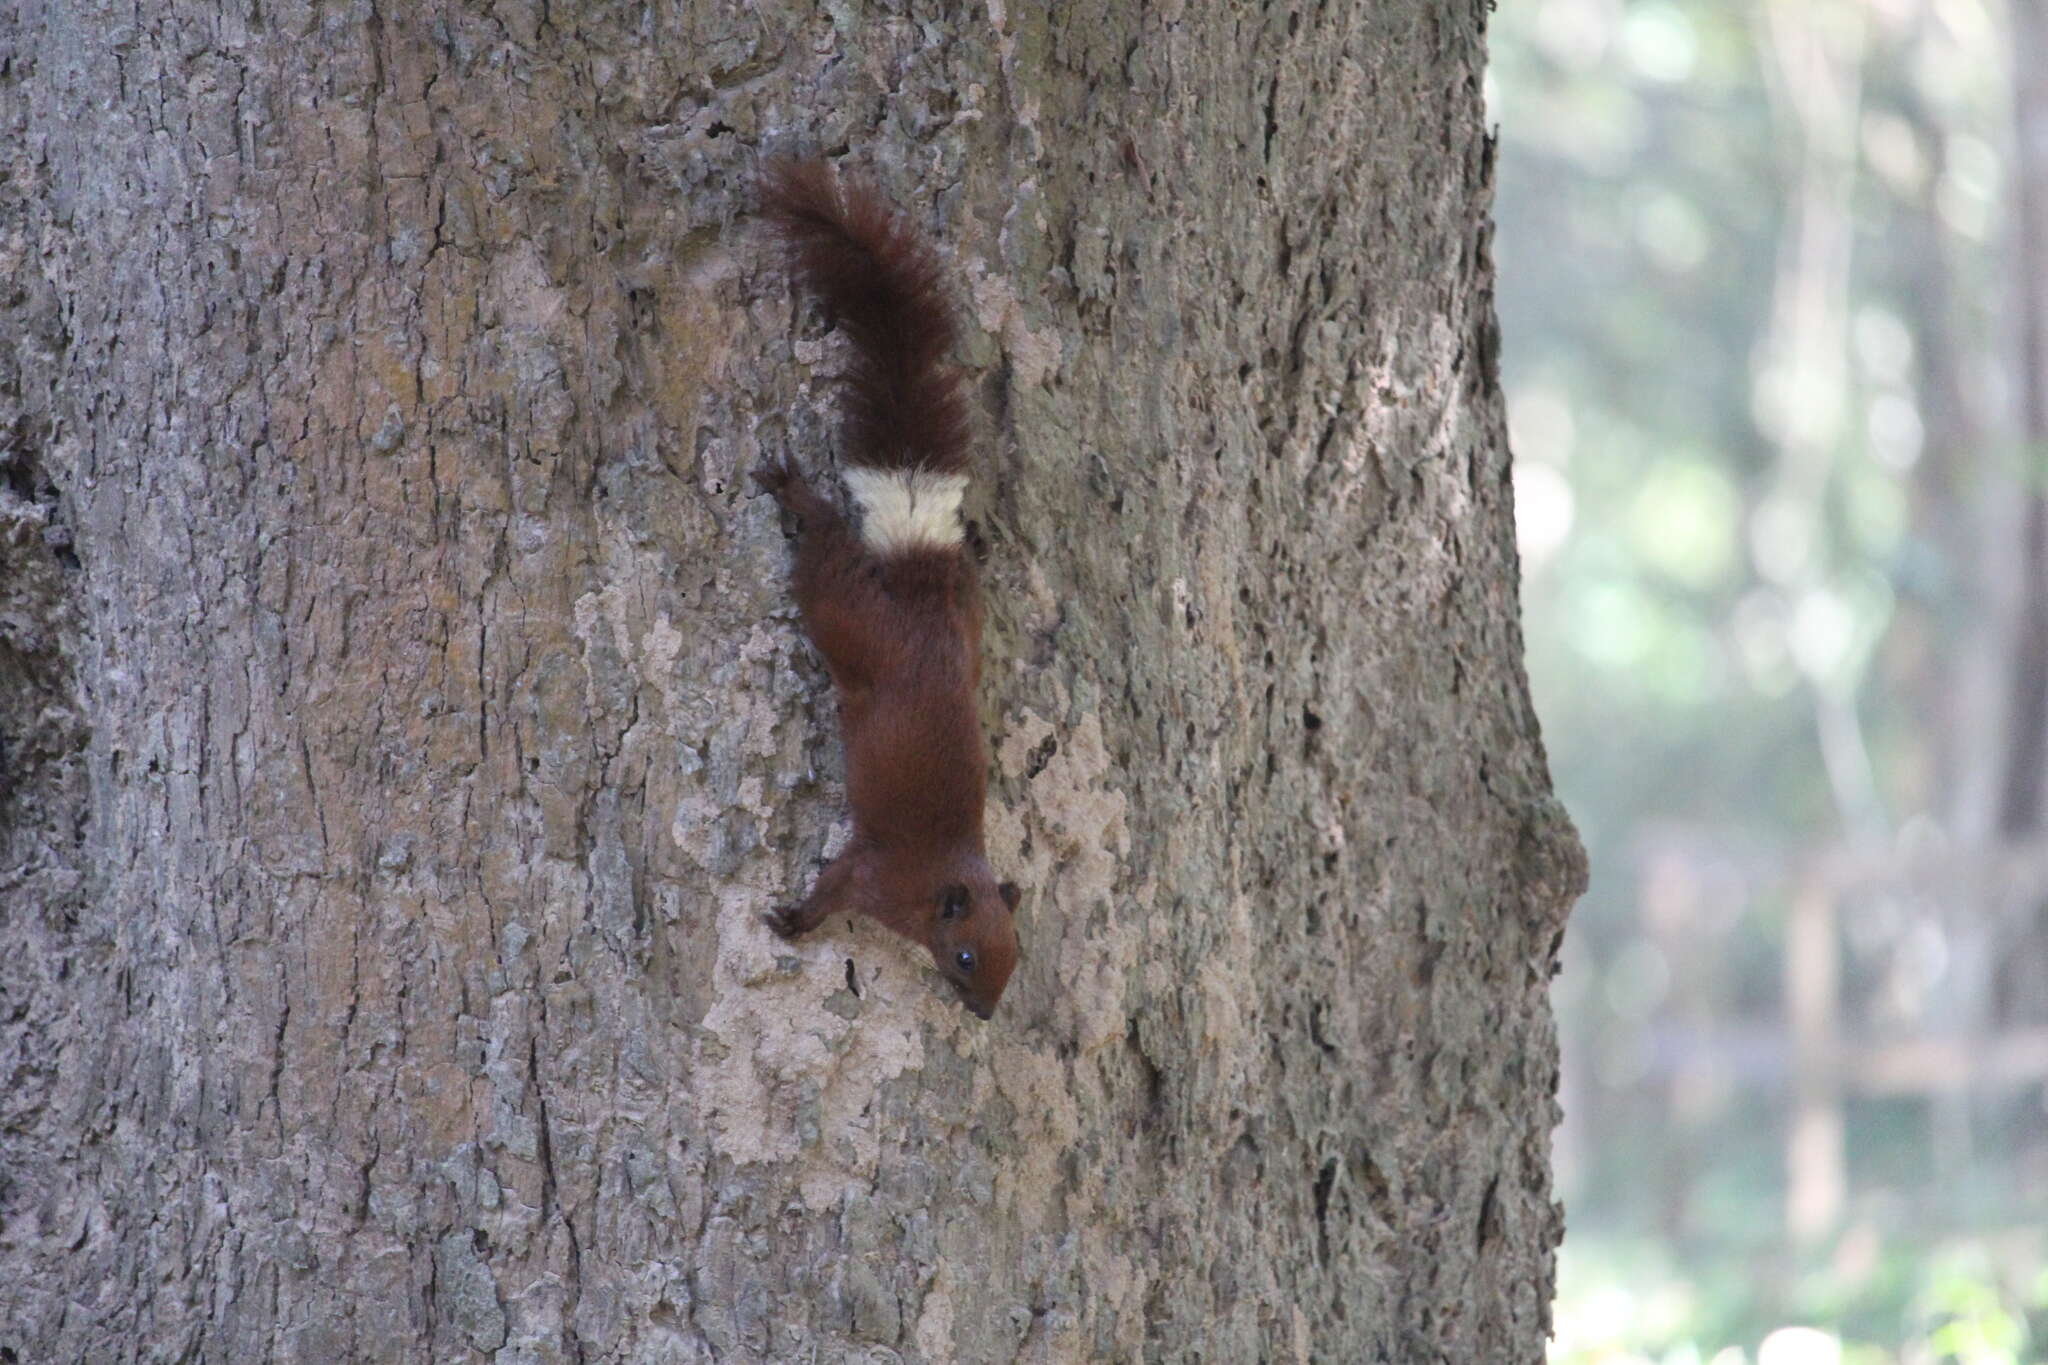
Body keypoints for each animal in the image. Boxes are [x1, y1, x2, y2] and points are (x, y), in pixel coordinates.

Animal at [749, 160, 1019, 1019]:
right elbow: (833, 885)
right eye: (965, 955)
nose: (984, 1013)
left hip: (965, 621)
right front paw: (793, 918)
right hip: (845, 612)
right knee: (825, 548)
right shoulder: (873, 874)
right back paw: (795, 491)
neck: (939, 879)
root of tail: (921, 595)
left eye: (1014, 960)